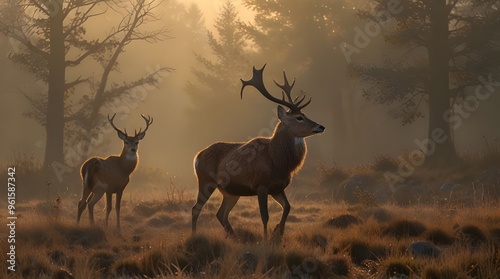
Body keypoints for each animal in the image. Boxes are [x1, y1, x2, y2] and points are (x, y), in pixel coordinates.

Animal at [191, 65, 324, 241]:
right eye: (299, 117)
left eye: (305, 115)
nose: (321, 126)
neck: (278, 162)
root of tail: (197, 156)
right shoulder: (261, 185)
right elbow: (264, 215)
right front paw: (266, 239)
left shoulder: (278, 187)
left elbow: (288, 207)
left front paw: (278, 231)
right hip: (205, 181)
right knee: (196, 209)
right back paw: (194, 236)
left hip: (230, 192)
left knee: (221, 213)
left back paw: (235, 237)